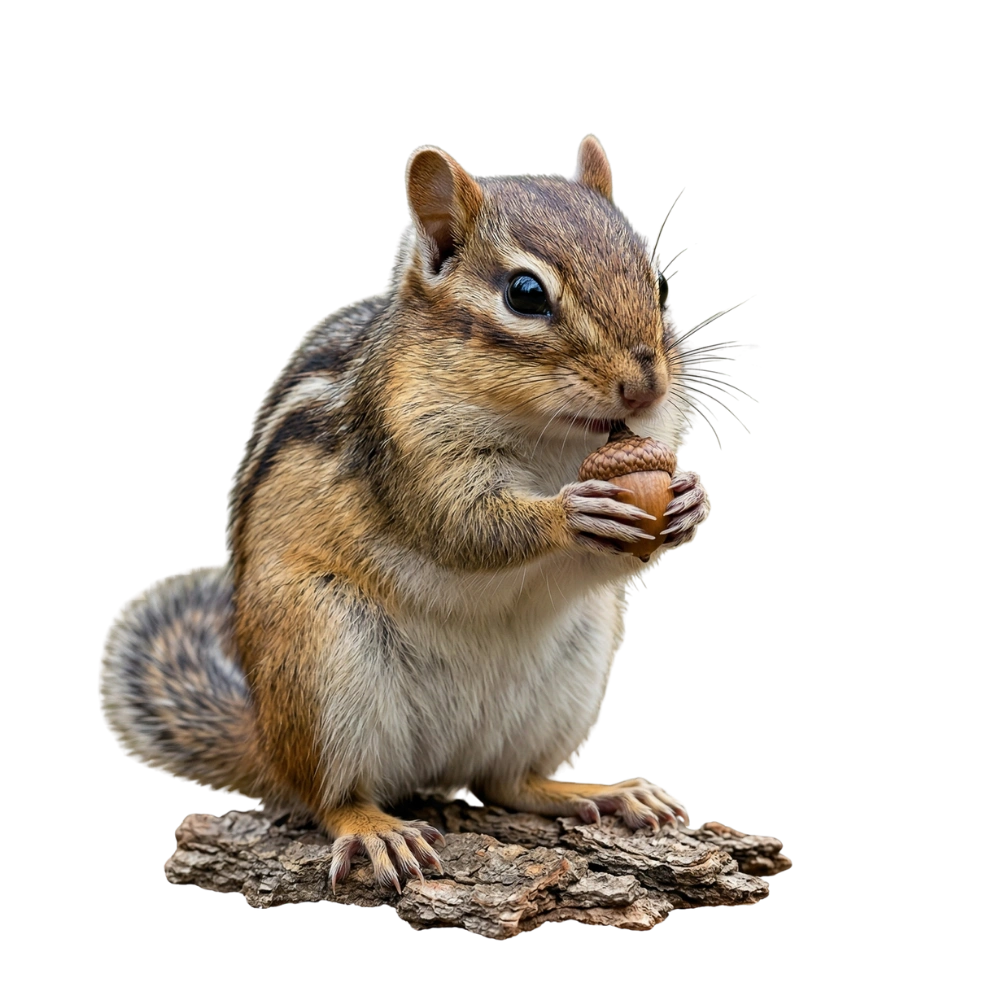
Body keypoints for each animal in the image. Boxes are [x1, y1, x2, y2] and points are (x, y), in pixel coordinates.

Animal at [98, 135, 711, 893]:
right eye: (525, 294)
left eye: (659, 286)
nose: (646, 385)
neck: (554, 439)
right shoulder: (405, 450)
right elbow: (464, 526)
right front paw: (573, 512)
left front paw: (690, 501)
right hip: (319, 659)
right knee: (328, 796)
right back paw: (374, 829)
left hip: (573, 672)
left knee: (507, 781)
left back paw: (601, 791)